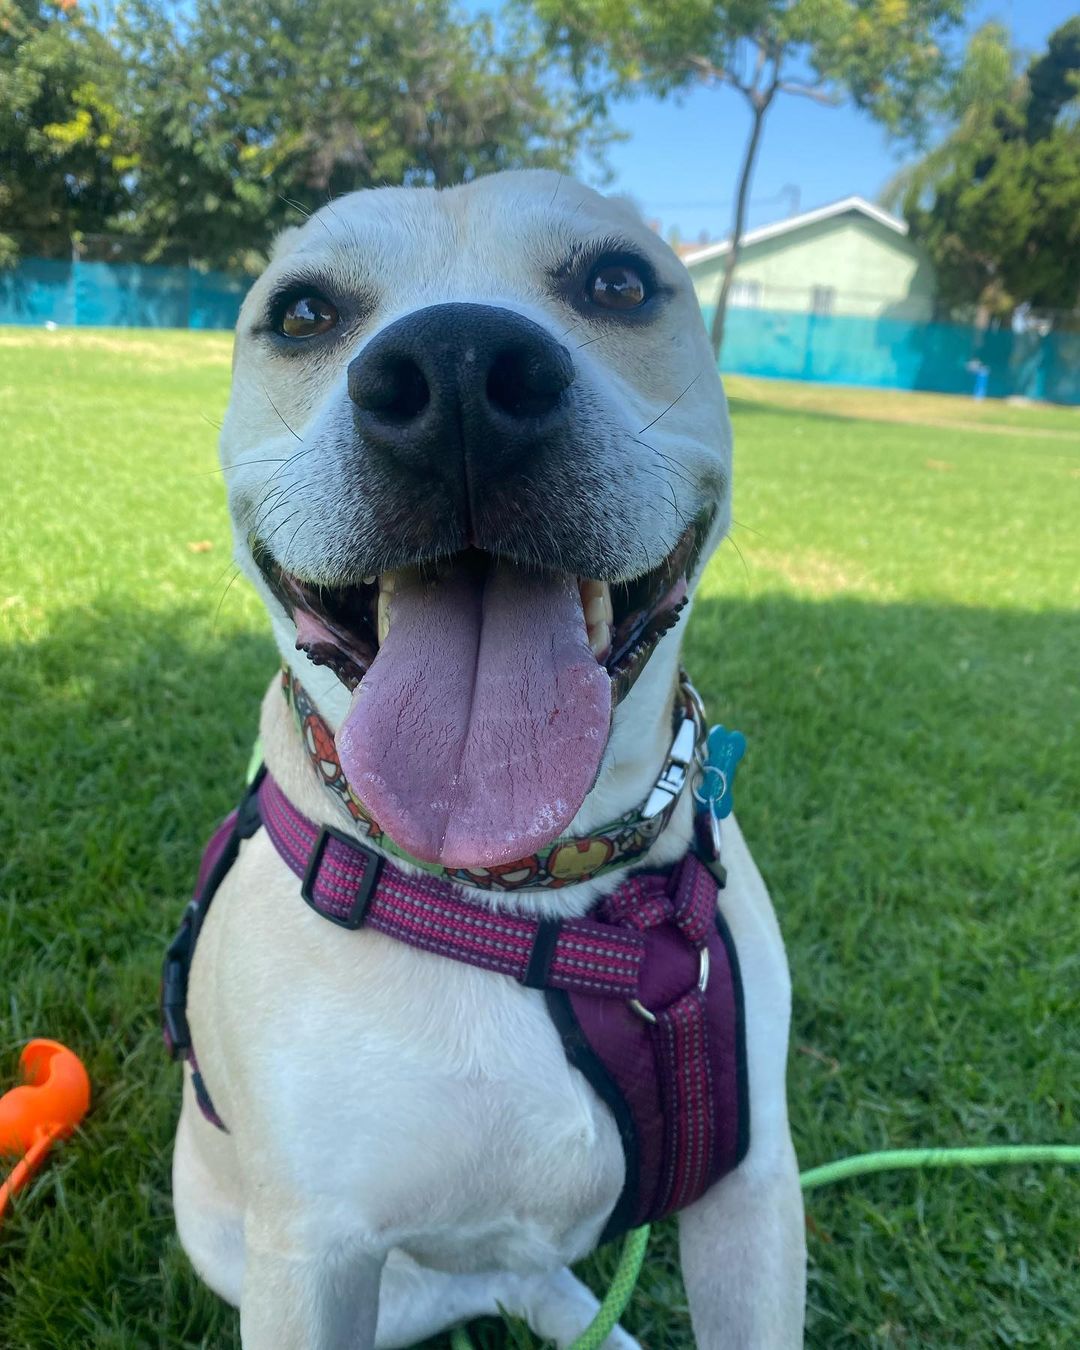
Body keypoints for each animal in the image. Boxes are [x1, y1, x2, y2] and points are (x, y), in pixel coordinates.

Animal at [168, 171, 804, 1350]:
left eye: (618, 282)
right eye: (304, 313)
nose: (457, 371)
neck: (529, 891)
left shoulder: (751, 1187)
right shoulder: (309, 1260)